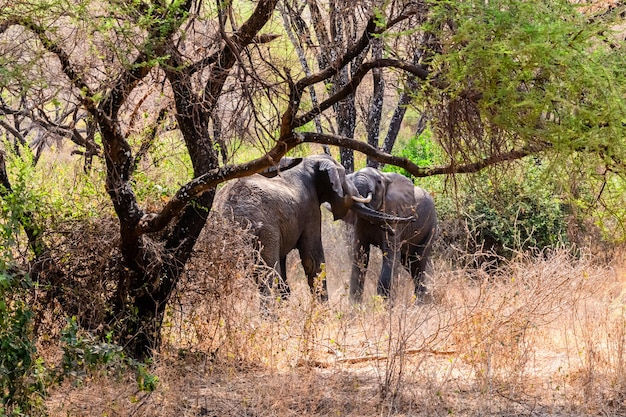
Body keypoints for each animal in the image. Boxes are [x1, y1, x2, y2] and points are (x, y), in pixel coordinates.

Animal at [214, 153, 410, 302]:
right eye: (344, 179)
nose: (392, 230)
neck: (309, 163)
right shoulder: (310, 209)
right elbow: (313, 260)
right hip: (263, 230)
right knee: (266, 273)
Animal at [344, 167, 436, 302]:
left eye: (378, 182)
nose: (412, 219)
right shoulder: (360, 222)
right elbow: (360, 255)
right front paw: (355, 304)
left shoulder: (394, 213)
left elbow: (391, 256)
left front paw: (384, 304)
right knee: (409, 264)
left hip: (430, 227)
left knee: (418, 263)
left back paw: (420, 303)